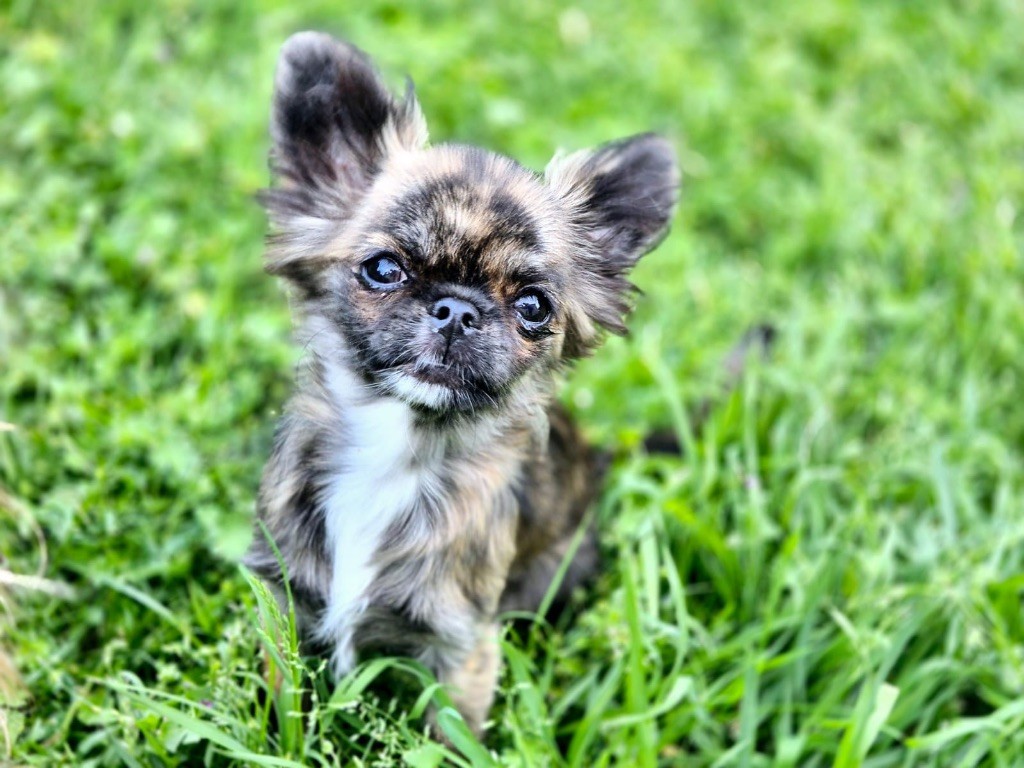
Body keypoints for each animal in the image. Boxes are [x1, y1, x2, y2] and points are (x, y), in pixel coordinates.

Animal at [243, 33, 679, 737]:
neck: (397, 451)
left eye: (533, 306)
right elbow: (282, 710)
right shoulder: (281, 601)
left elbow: (449, 738)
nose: (457, 309)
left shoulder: (461, 648)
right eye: (383, 269)